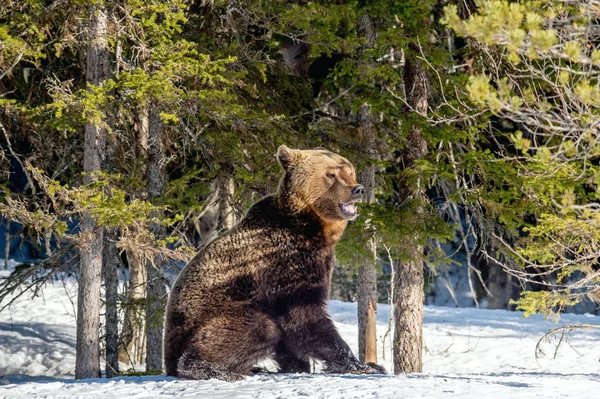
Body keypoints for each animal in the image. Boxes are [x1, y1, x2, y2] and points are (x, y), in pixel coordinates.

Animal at [164, 145, 386, 382]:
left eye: (350, 171)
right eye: (331, 174)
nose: (358, 189)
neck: (311, 229)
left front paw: (298, 365)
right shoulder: (284, 263)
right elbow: (305, 314)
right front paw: (365, 365)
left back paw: (253, 367)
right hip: (213, 315)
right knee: (259, 327)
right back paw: (216, 370)